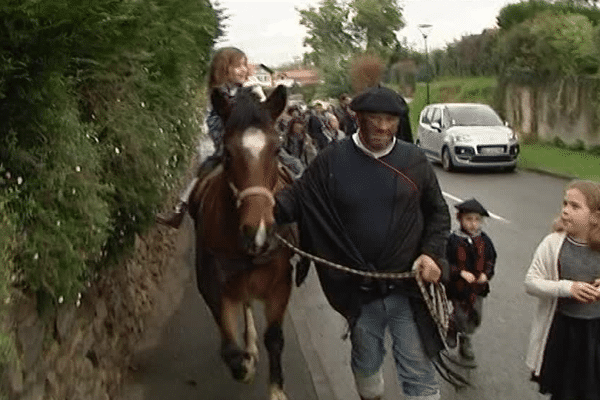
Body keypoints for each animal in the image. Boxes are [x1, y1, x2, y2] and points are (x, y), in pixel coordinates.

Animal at [190, 86, 296, 398]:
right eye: (227, 153)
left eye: (276, 150)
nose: (257, 232)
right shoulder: (212, 287)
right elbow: (229, 350)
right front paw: (245, 365)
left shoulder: (280, 285)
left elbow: (274, 337)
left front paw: (276, 390)